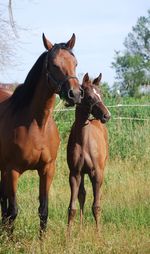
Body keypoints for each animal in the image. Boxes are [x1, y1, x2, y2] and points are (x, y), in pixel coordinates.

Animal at [0, 32, 82, 233]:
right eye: (54, 65)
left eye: (75, 63)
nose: (75, 94)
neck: (37, 126)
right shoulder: (12, 171)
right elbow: (13, 211)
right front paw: (9, 238)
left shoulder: (47, 169)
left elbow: (43, 210)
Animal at [67, 73, 110, 232]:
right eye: (90, 96)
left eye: (101, 94)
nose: (106, 115)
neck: (84, 141)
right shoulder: (75, 173)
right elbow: (72, 208)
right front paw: (69, 235)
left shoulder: (96, 173)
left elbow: (96, 207)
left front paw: (98, 234)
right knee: (82, 195)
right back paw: (80, 229)